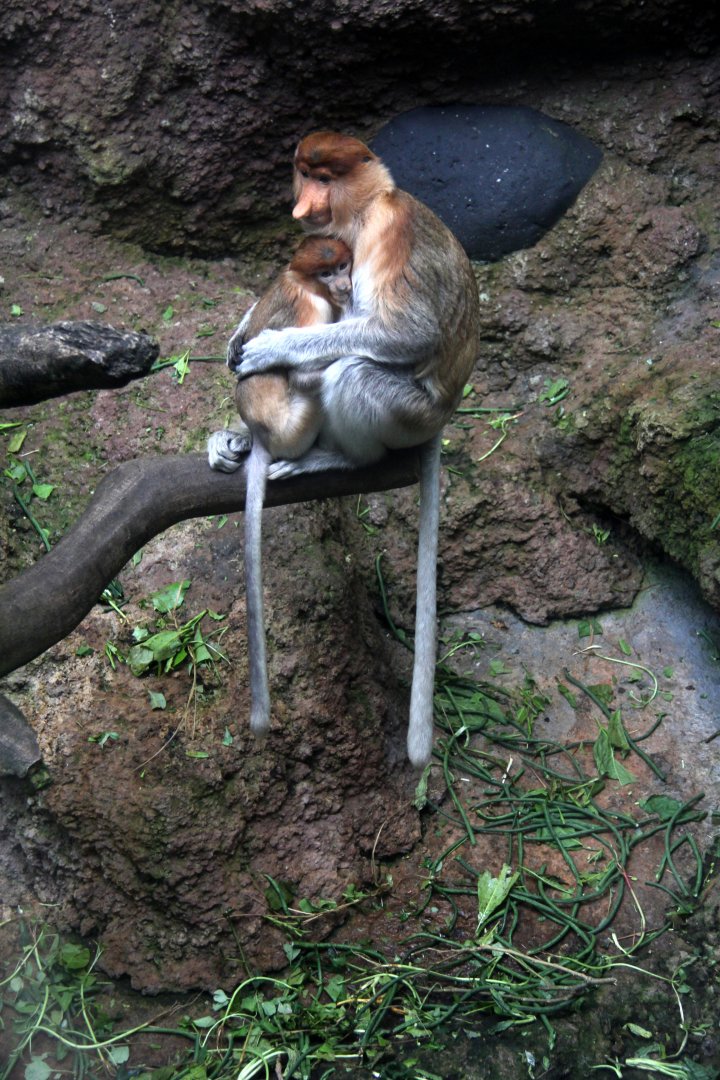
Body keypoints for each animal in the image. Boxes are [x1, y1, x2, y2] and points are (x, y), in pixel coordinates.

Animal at [208, 236, 352, 735]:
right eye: (328, 274)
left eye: (344, 266)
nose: (346, 286)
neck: (301, 282)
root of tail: (266, 433)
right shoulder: (314, 308)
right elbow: (304, 366)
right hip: (297, 421)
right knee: (314, 384)